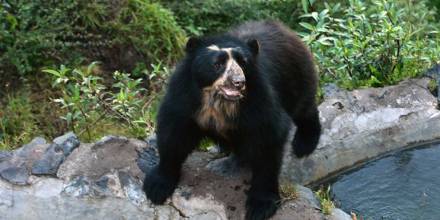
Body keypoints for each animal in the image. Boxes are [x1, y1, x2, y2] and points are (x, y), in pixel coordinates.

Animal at [144, 20, 320, 220]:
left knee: (304, 108)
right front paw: (156, 187)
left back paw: (304, 144)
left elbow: (268, 140)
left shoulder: (260, 99)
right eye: (217, 64)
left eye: (243, 63)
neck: (219, 102)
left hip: (295, 77)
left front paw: (261, 206)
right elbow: (174, 134)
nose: (238, 82)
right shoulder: (184, 96)